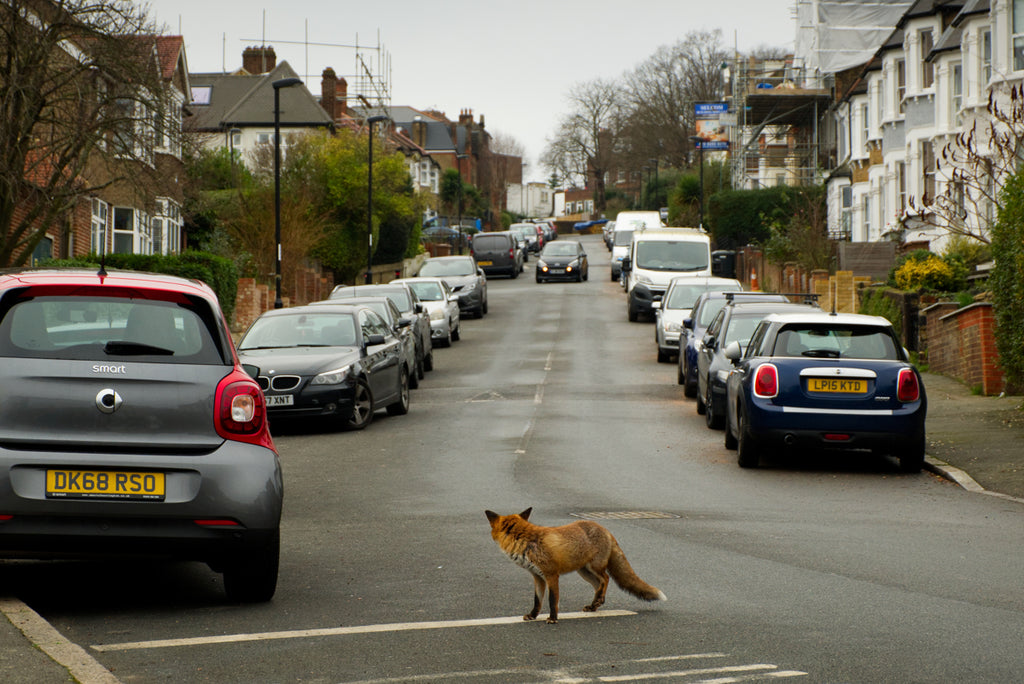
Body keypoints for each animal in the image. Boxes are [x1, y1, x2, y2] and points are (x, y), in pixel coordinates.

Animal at [485, 507, 667, 626]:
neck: (529, 542)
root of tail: (606, 530)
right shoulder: (538, 577)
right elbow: (537, 601)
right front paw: (533, 615)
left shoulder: (552, 575)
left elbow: (552, 599)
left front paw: (553, 618)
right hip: (584, 572)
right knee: (599, 584)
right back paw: (595, 604)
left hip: (593, 567)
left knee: (606, 578)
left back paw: (597, 601)